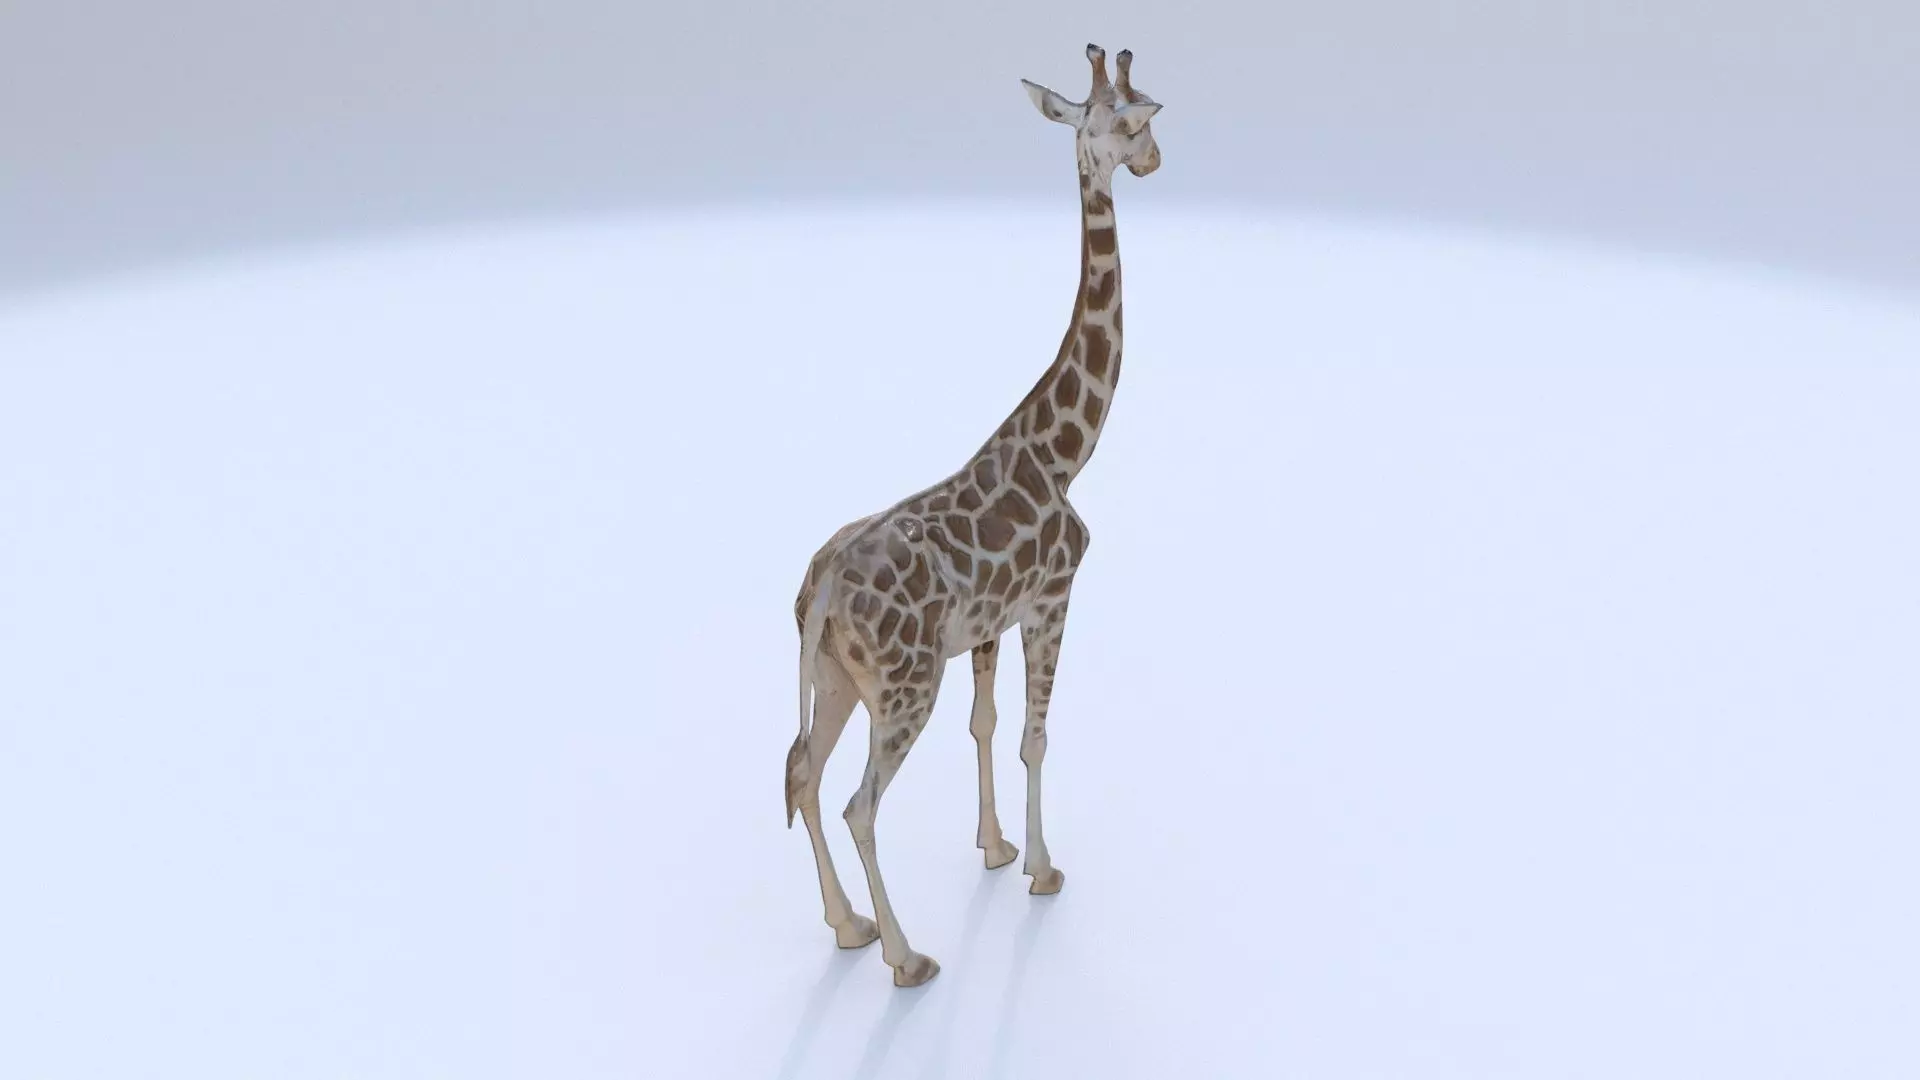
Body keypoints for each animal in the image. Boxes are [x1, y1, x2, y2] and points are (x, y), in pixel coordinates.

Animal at [782, 43, 1163, 988]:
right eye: (1128, 124)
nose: (1153, 162)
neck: (1066, 451)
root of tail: (822, 587)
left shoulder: (988, 622)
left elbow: (986, 724)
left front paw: (994, 850)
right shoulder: (1053, 596)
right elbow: (1034, 736)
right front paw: (1043, 869)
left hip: (835, 676)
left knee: (800, 770)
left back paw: (849, 928)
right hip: (902, 683)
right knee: (858, 803)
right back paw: (908, 957)